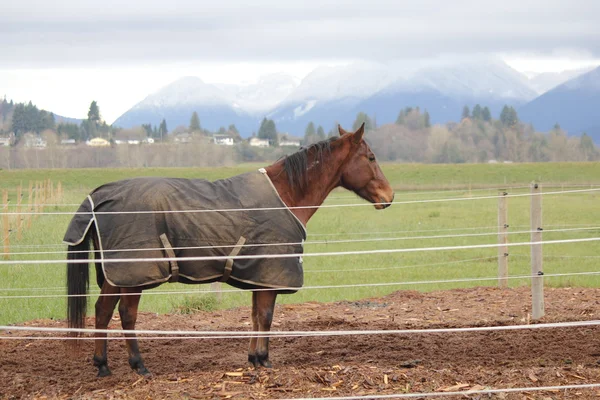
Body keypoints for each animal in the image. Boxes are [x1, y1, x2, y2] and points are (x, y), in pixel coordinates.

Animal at [65, 122, 394, 378]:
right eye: (371, 157)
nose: (389, 196)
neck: (286, 194)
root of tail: (99, 196)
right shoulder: (270, 277)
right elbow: (266, 316)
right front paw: (264, 360)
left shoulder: (259, 276)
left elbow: (254, 316)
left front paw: (253, 359)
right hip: (136, 275)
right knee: (126, 315)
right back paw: (139, 365)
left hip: (116, 275)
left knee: (102, 311)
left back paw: (102, 365)